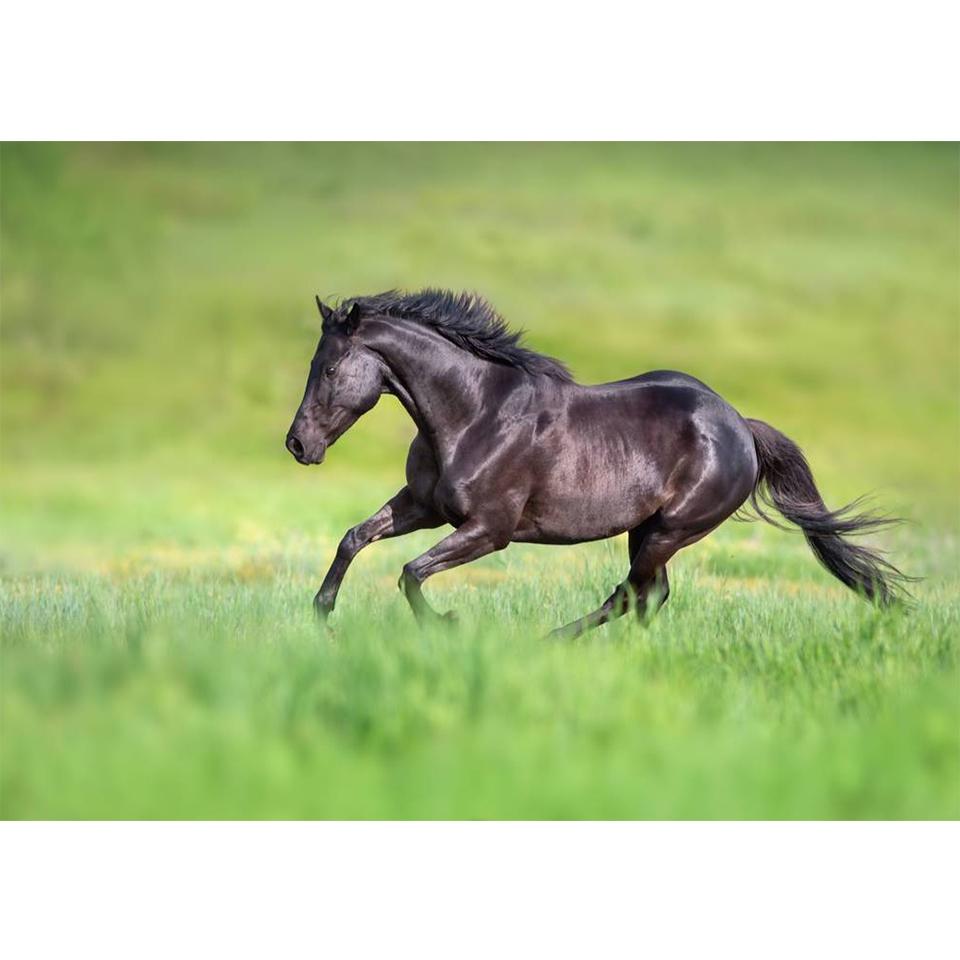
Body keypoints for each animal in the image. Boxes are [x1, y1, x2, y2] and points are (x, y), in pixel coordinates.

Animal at [285, 289, 909, 638]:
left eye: (331, 368)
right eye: (315, 364)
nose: (297, 445)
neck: (475, 413)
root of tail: (740, 426)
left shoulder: (489, 530)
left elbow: (412, 572)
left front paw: (445, 625)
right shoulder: (423, 506)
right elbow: (354, 537)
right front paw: (320, 613)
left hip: (671, 529)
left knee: (630, 594)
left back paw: (550, 642)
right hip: (645, 530)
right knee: (648, 597)